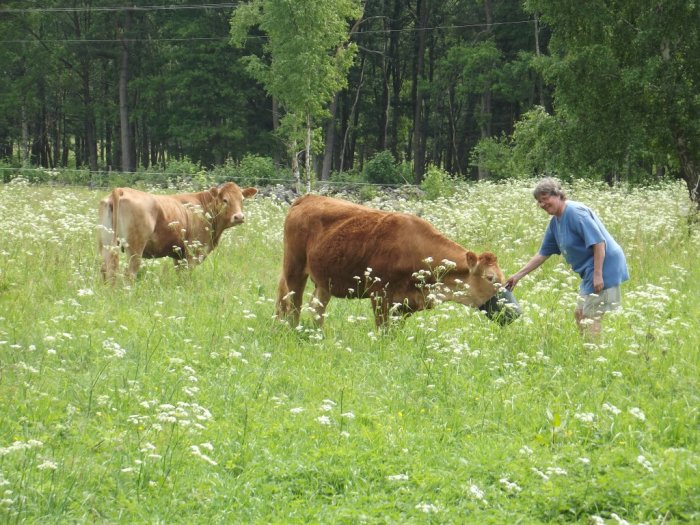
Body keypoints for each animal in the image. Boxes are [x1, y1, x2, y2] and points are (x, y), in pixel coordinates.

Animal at [98, 183, 258, 282]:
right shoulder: (193, 251)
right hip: (135, 246)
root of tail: (120, 190)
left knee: (107, 269)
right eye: (225, 200)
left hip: (106, 242)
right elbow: (188, 275)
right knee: (129, 273)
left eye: (242, 199)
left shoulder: (178, 254)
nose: (239, 217)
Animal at [278, 194, 516, 328]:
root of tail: (307, 197)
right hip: (295, 268)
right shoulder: (380, 295)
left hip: (323, 280)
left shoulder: (404, 304)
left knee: (316, 308)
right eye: (490, 277)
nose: (513, 314)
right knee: (294, 305)